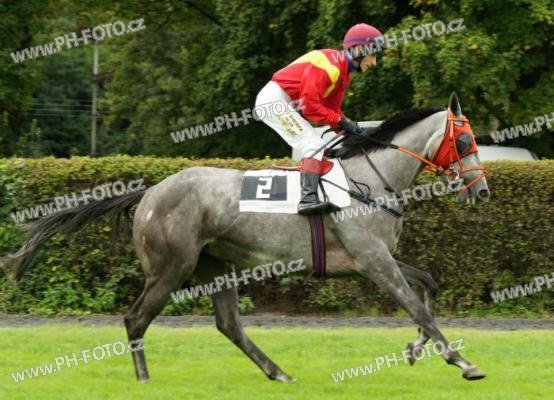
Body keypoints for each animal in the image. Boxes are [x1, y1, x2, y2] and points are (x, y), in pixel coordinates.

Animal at [0, 93, 490, 383]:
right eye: (466, 140)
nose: (482, 190)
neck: (372, 180)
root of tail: (150, 192)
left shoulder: (379, 258)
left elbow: (429, 285)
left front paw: (413, 350)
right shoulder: (373, 262)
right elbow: (417, 307)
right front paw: (464, 363)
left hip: (215, 264)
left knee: (228, 324)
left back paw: (279, 374)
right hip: (171, 268)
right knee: (135, 319)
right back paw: (144, 380)